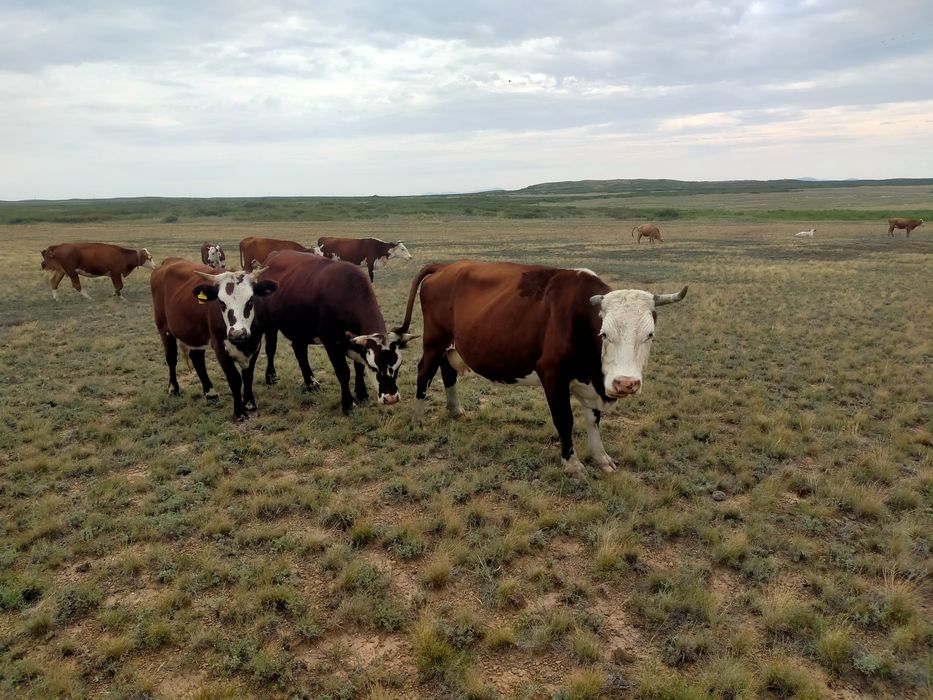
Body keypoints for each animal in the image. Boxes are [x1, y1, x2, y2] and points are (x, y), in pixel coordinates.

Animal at [150, 258, 277, 420]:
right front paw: (239, 412)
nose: (237, 333)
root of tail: (168, 262)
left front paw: (250, 405)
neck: (243, 344)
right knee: (171, 359)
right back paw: (173, 389)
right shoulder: (220, 348)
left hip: (195, 334)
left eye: (250, 301)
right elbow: (235, 378)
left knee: (197, 358)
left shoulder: (255, 345)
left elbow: (248, 376)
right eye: (221, 303)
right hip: (164, 329)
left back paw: (210, 393)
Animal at [256, 250, 416, 414]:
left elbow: (359, 368)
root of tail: (274, 254)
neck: (347, 293)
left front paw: (362, 394)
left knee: (299, 350)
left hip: (300, 328)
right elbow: (343, 372)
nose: (391, 398)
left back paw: (311, 382)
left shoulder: (356, 342)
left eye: (398, 366)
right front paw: (348, 404)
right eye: (374, 367)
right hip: (269, 323)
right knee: (271, 349)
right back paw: (271, 377)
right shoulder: (331, 342)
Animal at [395, 261, 687, 475]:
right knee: (424, 374)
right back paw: (418, 420)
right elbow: (565, 419)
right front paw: (571, 462)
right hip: (433, 343)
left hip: (451, 345)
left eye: (650, 335)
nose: (625, 383)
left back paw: (455, 410)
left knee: (448, 371)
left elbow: (593, 420)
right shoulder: (553, 375)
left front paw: (601, 457)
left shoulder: (593, 384)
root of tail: (446, 266)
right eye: (605, 334)